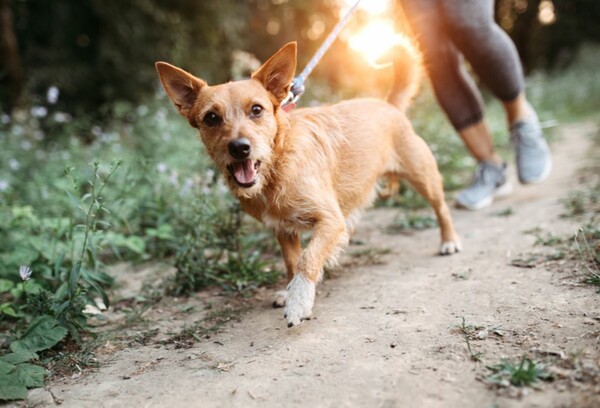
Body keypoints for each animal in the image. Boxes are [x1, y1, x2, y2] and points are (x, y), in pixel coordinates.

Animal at [155, 40, 460, 328]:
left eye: (256, 110)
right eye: (211, 118)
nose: (239, 148)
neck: (276, 167)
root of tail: (388, 105)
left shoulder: (329, 220)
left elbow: (307, 259)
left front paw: (299, 300)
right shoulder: (284, 230)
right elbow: (292, 262)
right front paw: (290, 291)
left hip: (423, 176)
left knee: (441, 207)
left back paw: (449, 241)